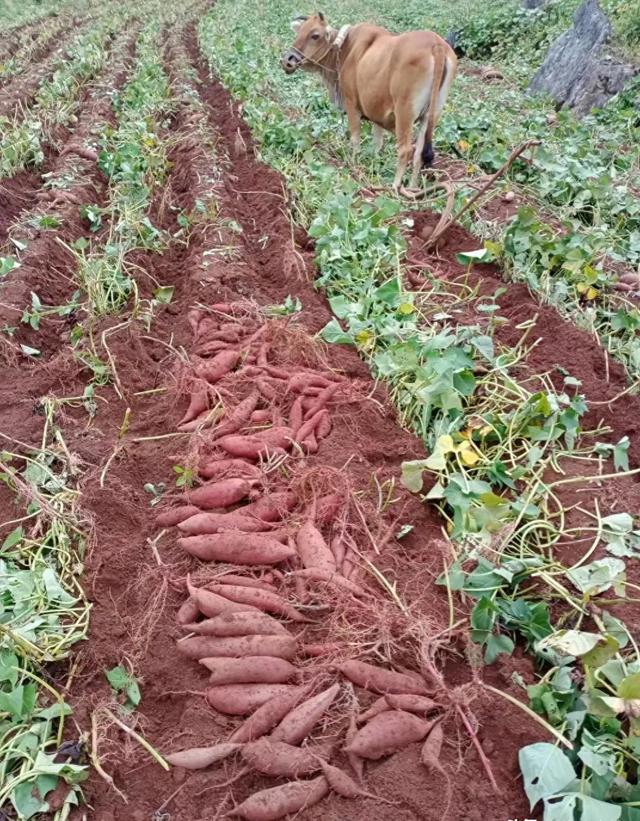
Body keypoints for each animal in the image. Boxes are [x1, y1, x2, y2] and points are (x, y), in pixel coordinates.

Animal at [282, 15, 458, 198]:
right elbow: (377, 144)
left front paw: (353, 166)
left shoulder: (351, 105)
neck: (344, 49)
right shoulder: (377, 115)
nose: (288, 59)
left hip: (405, 113)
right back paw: (412, 187)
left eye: (315, 35)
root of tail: (436, 44)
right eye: (299, 32)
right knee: (419, 154)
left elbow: (355, 139)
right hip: (431, 115)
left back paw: (395, 187)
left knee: (405, 150)